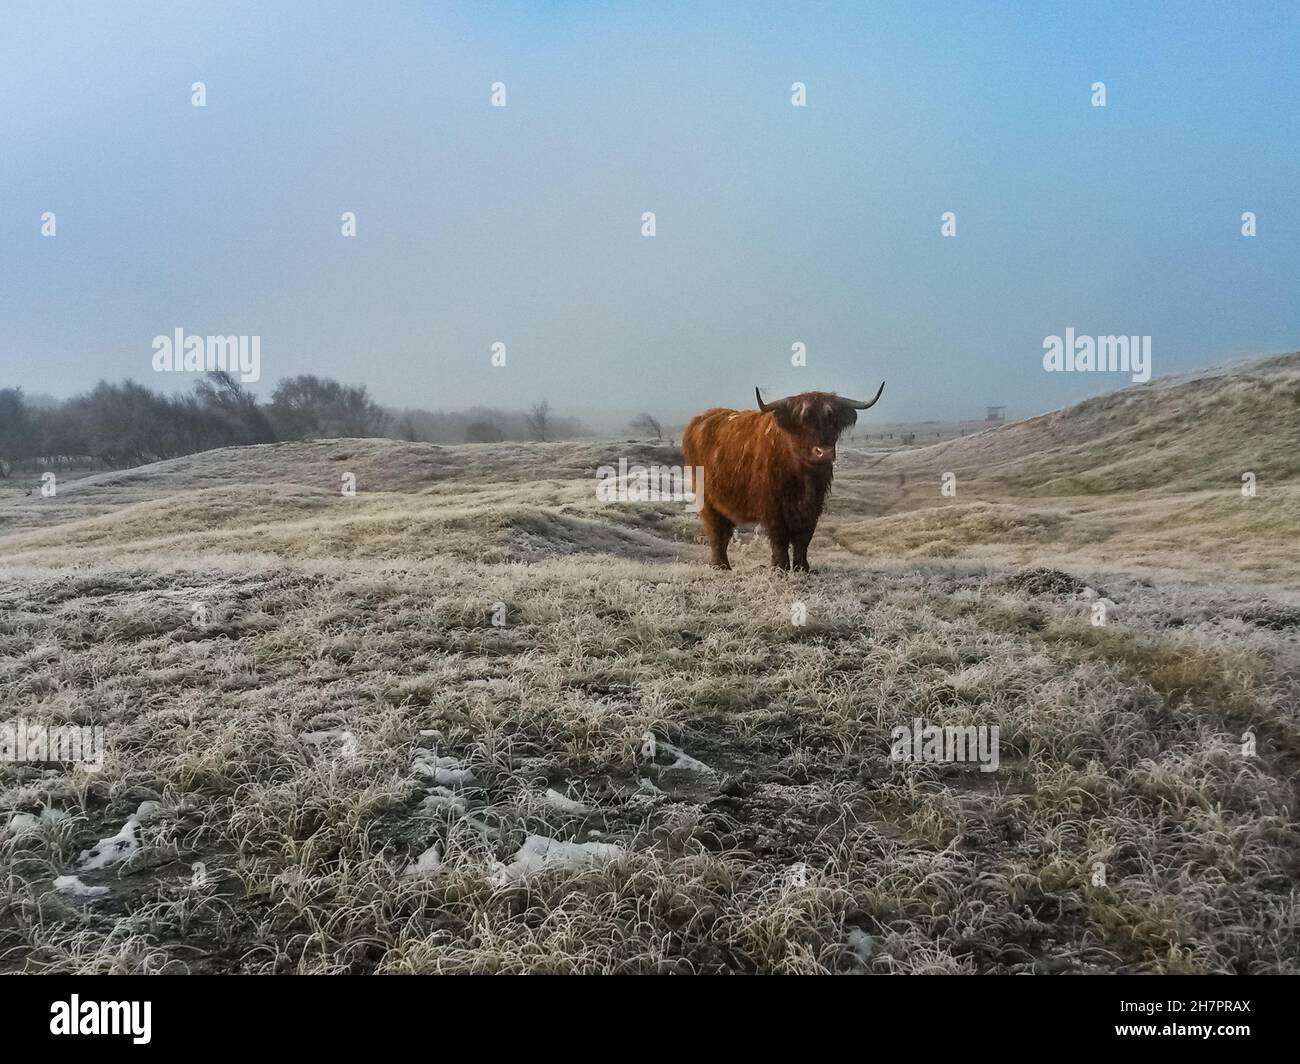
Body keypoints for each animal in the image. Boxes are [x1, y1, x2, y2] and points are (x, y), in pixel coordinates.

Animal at [681, 377, 883, 567]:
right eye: (802, 420)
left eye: (833, 420)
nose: (823, 452)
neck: (803, 478)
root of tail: (700, 419)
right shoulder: (772, 506)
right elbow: (780, 538)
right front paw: (780, 567)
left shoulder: (814, 506)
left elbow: (803, 538)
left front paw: (802, 567)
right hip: (707, 499)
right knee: (716, 533)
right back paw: (721, 566)